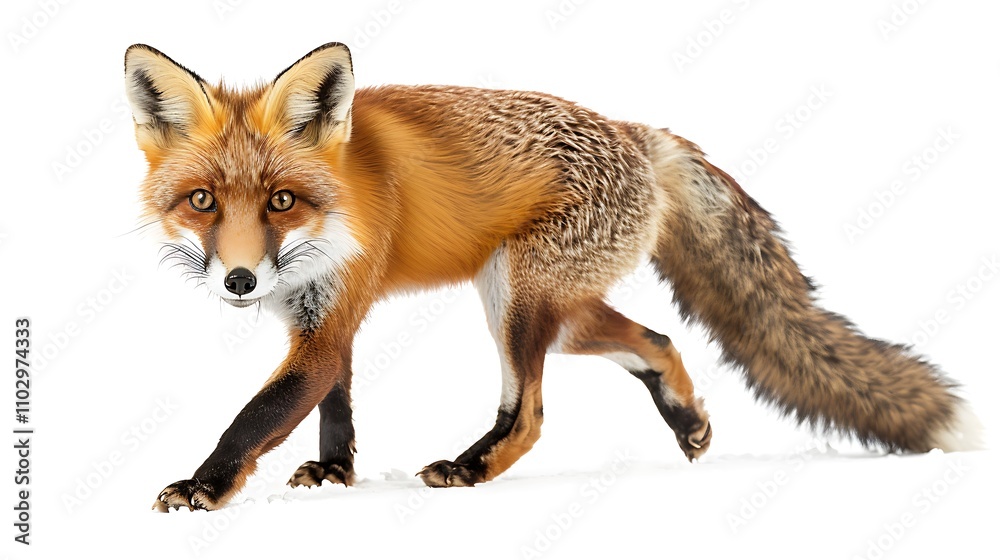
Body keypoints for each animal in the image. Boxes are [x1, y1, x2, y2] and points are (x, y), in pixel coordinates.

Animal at [124, 42, 981, 512]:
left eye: (281, 201)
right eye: (202, 202)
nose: (240, 281)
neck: (335, 212)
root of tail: (642, 134)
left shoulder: (330, 319)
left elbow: (257, 415)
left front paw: (204, 487)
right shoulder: (324, 316)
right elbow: (334, 401)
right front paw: (337, 472)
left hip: (516, 298)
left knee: (531, 412)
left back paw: (472, 467)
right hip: (549, 304)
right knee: (656, 338)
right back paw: (687, 419)